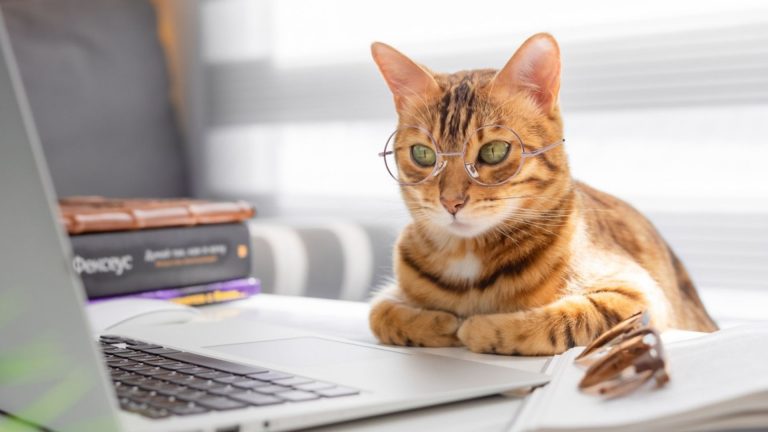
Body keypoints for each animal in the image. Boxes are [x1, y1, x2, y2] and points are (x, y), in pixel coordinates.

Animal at [368, 31, 716, 354]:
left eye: (494, 151)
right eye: (423, 155)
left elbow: (566, 319)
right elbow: (379, 313)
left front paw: (479, 328)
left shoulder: (641, 296)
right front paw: (438, 323)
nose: (451, 202)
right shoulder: (389, 295)